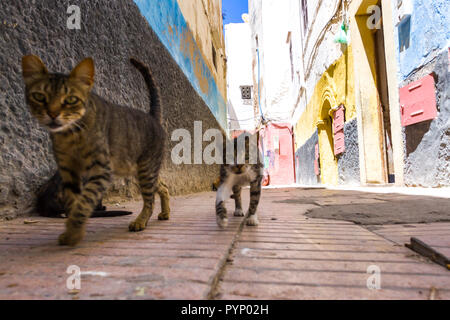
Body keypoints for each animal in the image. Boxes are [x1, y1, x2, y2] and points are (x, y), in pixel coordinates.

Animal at [22, 54, 168, 245]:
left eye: (71, 100)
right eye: (39, 97)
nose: (53, 114)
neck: (70, 134)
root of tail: (152, 118)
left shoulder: (100, 170)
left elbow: (84, 202)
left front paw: (74, 232)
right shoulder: (69, 171)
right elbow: (75, 204)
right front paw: (72, 230)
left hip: (146, 169)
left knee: (150, 201)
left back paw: (140, 221)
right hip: (140, 170)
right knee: (163, 187)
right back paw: (165, 213)